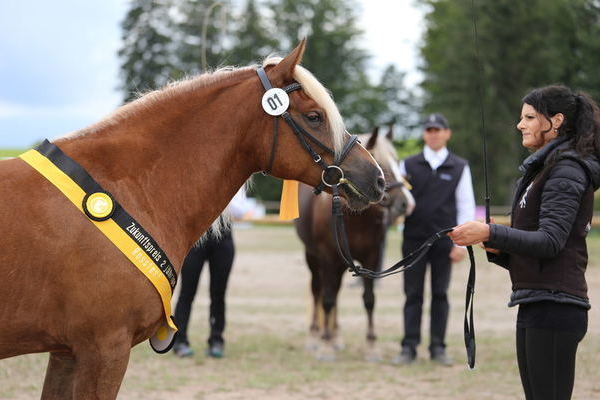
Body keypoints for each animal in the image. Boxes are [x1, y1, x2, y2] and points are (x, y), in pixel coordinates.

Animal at [294, 126, 414, 360]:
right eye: (379, 160)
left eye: (397, 161)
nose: (406, 203)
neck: (356, 219)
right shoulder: (328, 258)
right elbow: (327, 299)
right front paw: (325, 344)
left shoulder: (371, 259)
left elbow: (369, 299)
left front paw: (371, 345)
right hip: (313, 257)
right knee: (318, 290)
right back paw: (315, 336)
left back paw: (336, 336)